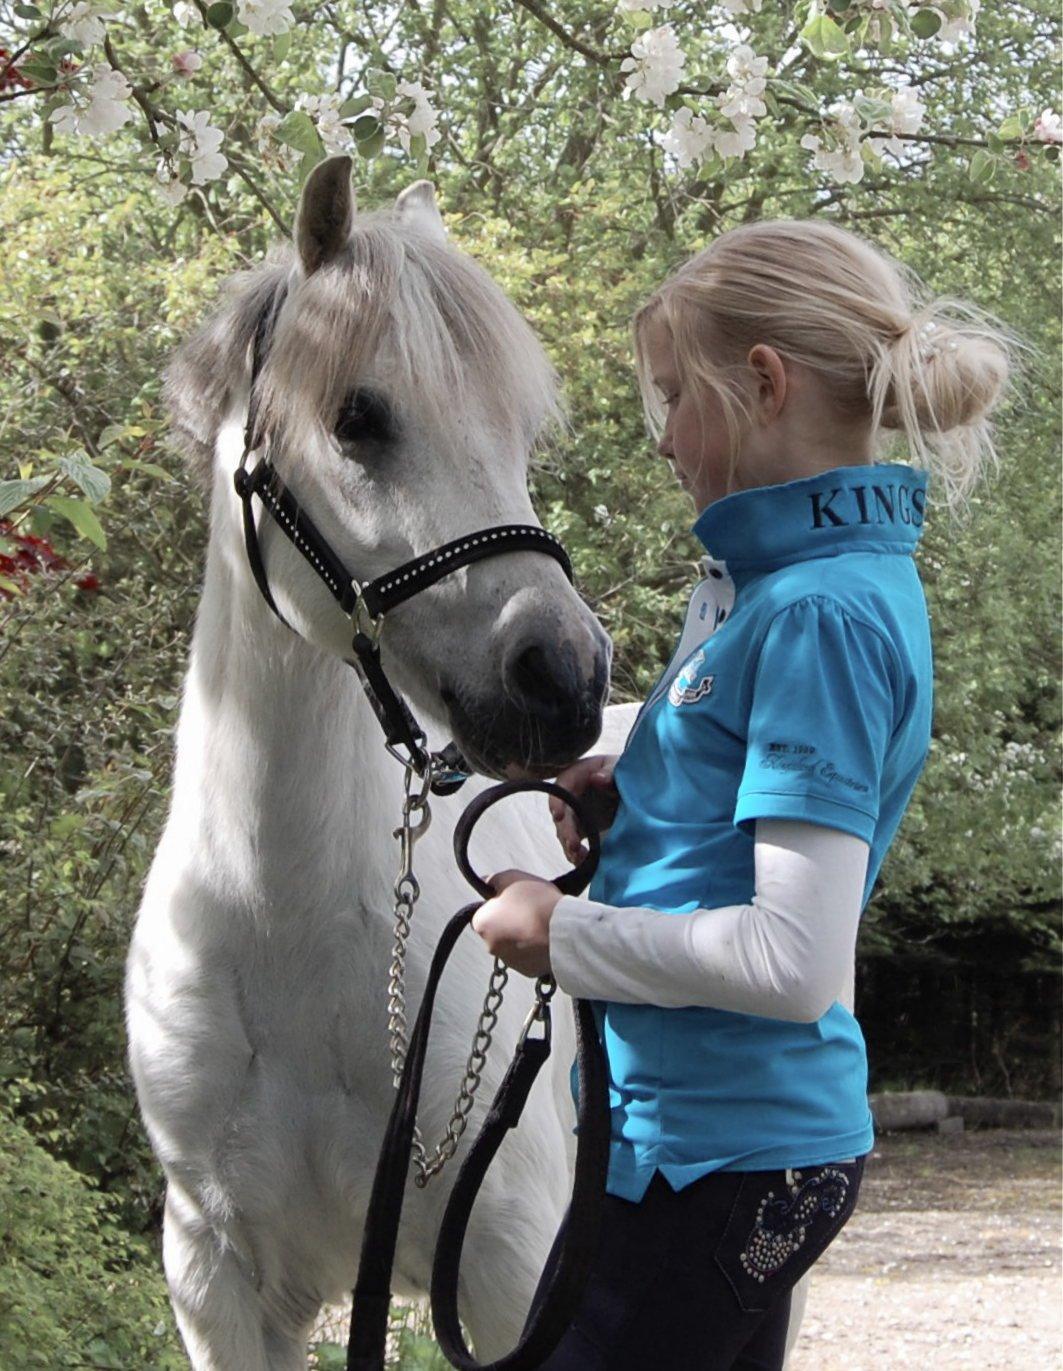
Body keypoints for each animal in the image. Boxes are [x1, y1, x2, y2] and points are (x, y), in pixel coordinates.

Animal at [124, 160, 806, 1371]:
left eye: (519, 429)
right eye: (357, 416)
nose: (561, 674)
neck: (284, 931)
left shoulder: (509, 1270)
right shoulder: (220, 1284)